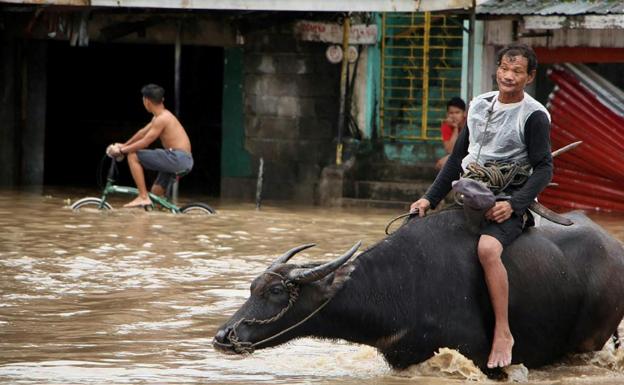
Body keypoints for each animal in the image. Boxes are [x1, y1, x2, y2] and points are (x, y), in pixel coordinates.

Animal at [213, 208, 624, 370]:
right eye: (252, 287)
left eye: (277, 293)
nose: (223, 336)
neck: (401, 285)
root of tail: (614, 246)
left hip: (589, 340)